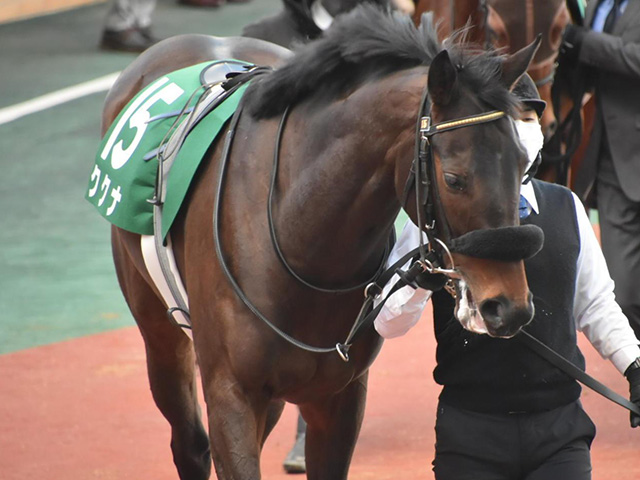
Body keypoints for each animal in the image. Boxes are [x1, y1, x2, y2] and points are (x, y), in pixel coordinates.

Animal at [104, 5, 540, 478]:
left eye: (523, 162)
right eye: (455, 179)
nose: (509, 307)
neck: (301, 242)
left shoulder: (338, 395)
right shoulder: (230, 394)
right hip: (157, 330)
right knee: (189, 443)